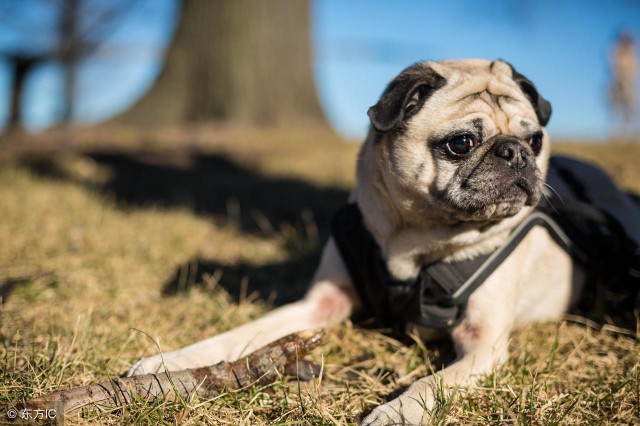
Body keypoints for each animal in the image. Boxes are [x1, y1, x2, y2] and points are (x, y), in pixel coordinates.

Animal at [130, 60, 576, 426]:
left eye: (536, 141)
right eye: (461, 143)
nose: (516, 152)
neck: (414, 244)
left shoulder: (482, 346)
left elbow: (431, 384)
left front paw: (398, 412)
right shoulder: (318, 306)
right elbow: (241, 334)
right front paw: (169, 362)